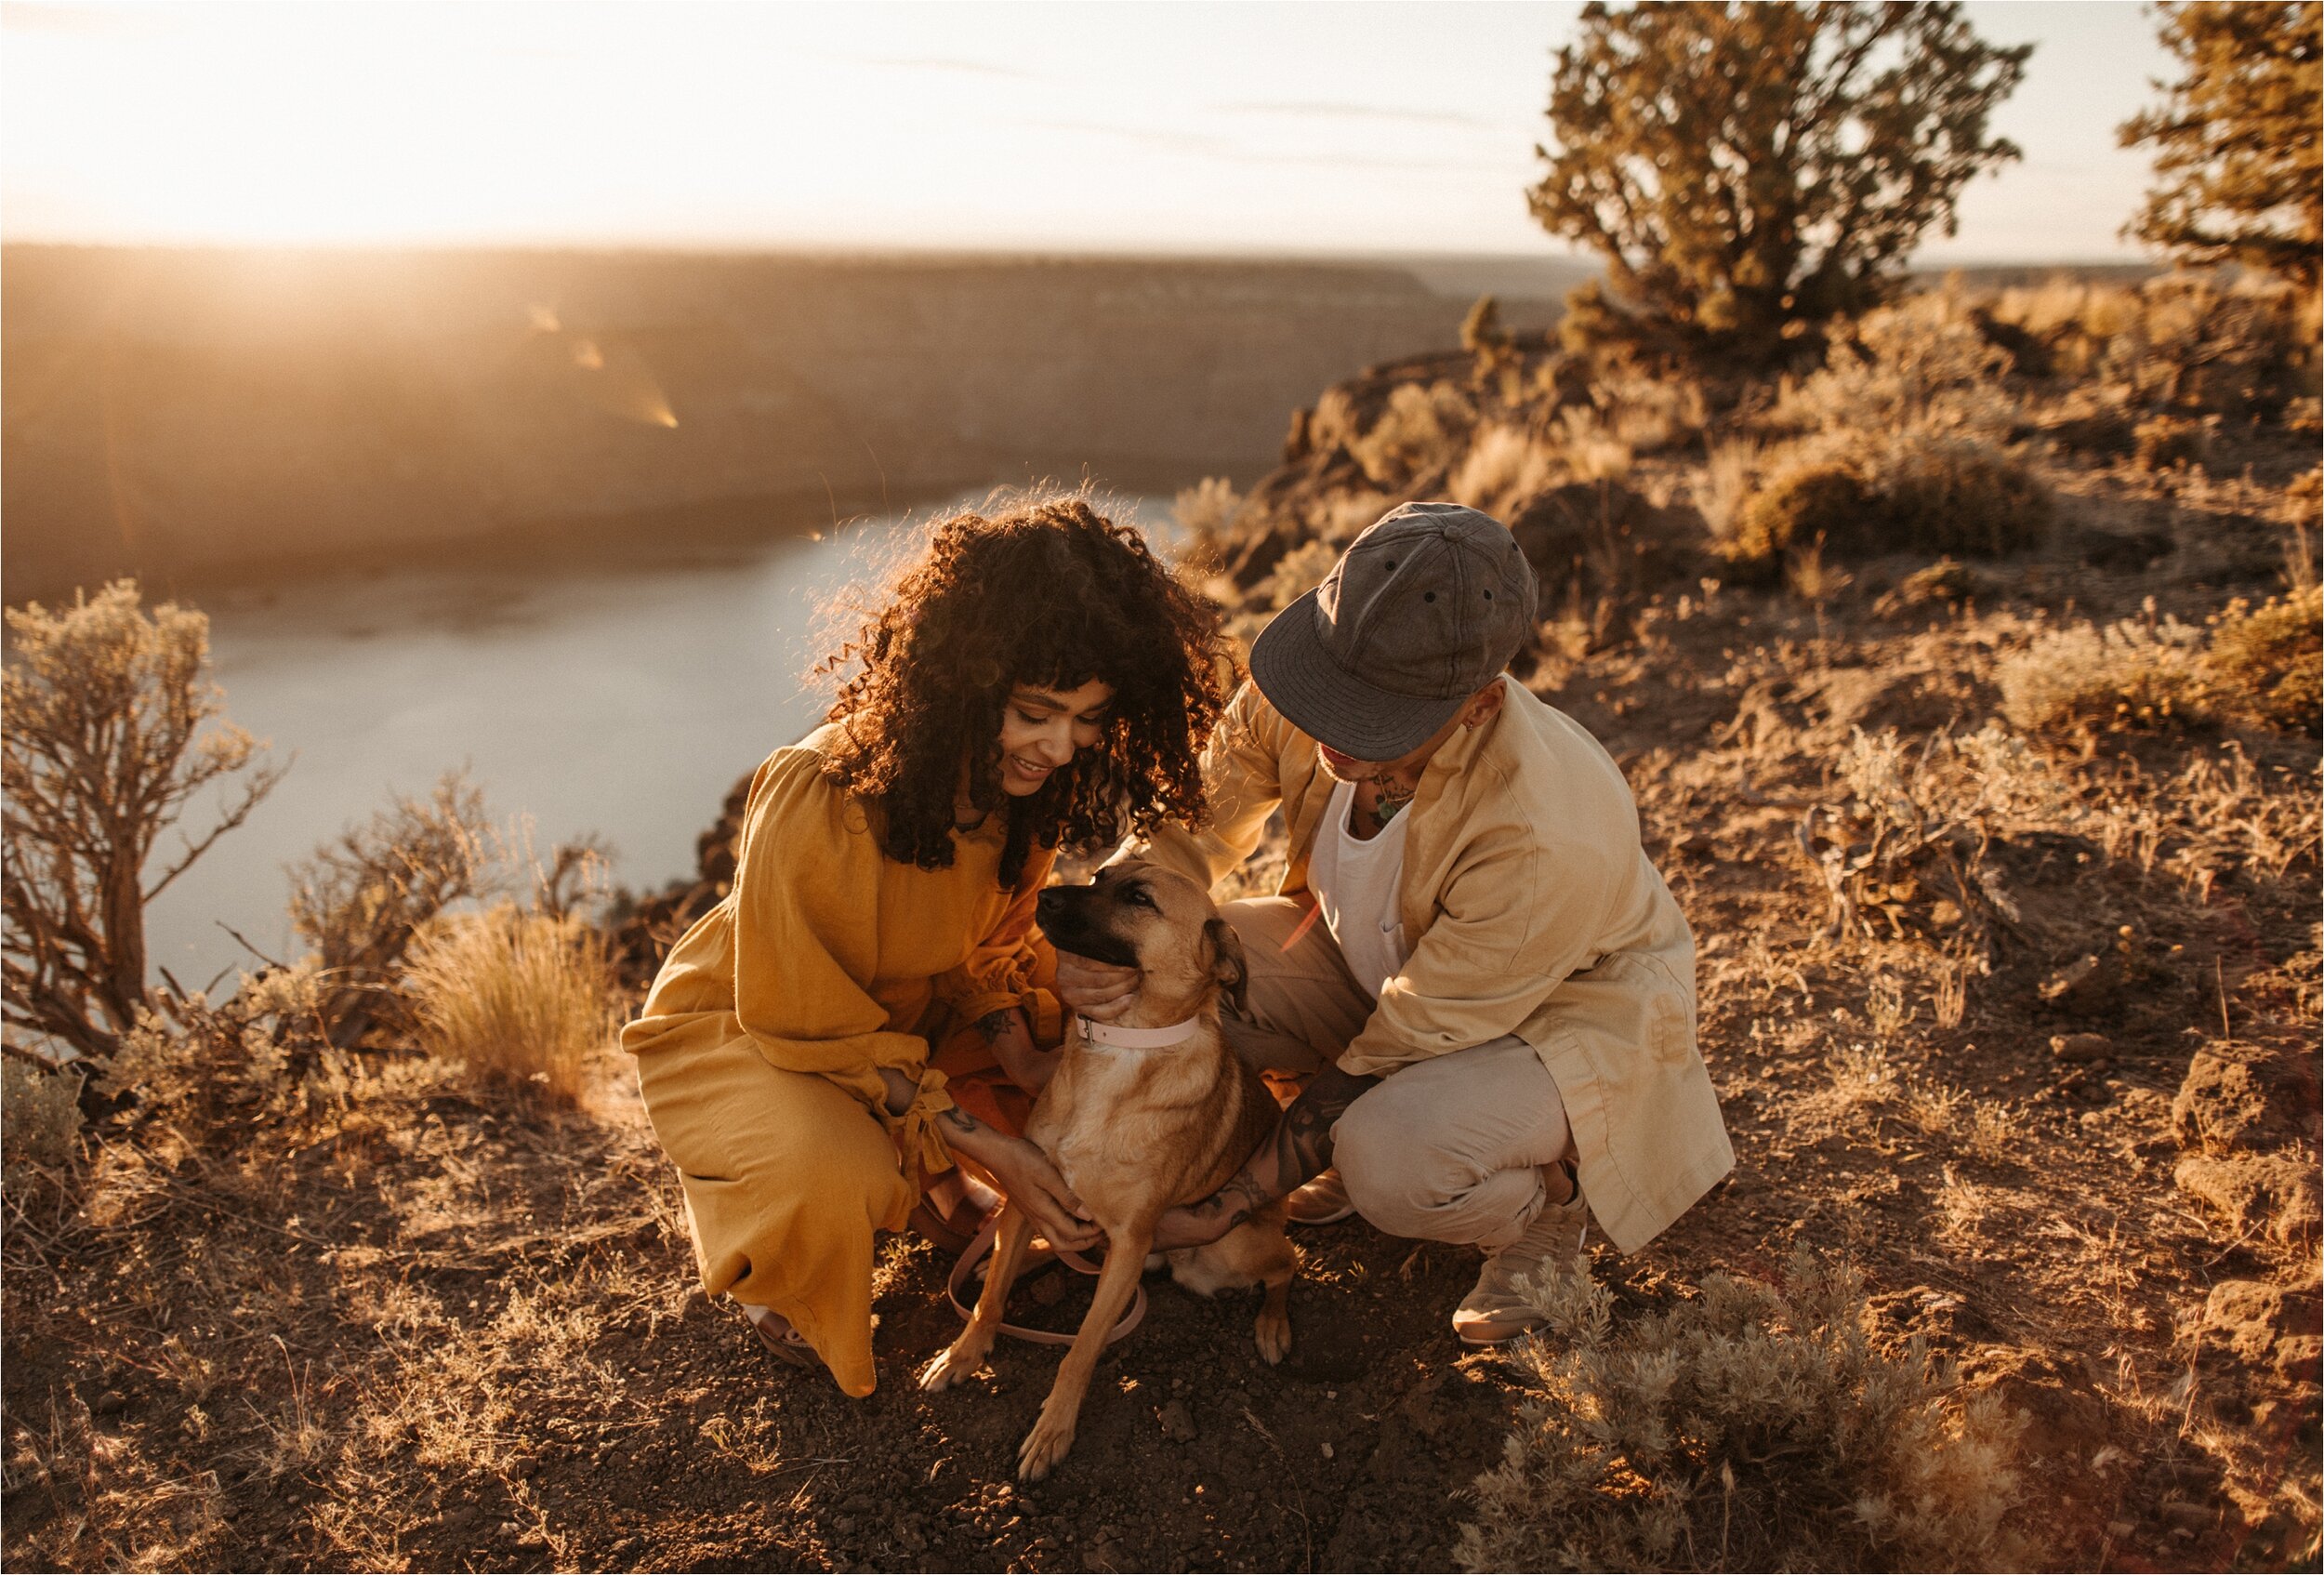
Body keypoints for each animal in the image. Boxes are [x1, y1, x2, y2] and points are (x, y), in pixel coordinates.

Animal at [920, 864, 1292, 1477]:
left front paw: (1053, 1430)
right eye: (1100, 875)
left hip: (1236, 1244)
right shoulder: (1028, 1197)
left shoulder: (1130, 1240)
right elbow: (992, 1296)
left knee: (1289, 1266)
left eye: (1139, 898)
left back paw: (1272, 1324)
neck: (1122, 1047)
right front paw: (964, 1353)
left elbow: (1081, 1347)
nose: (1044, 895)